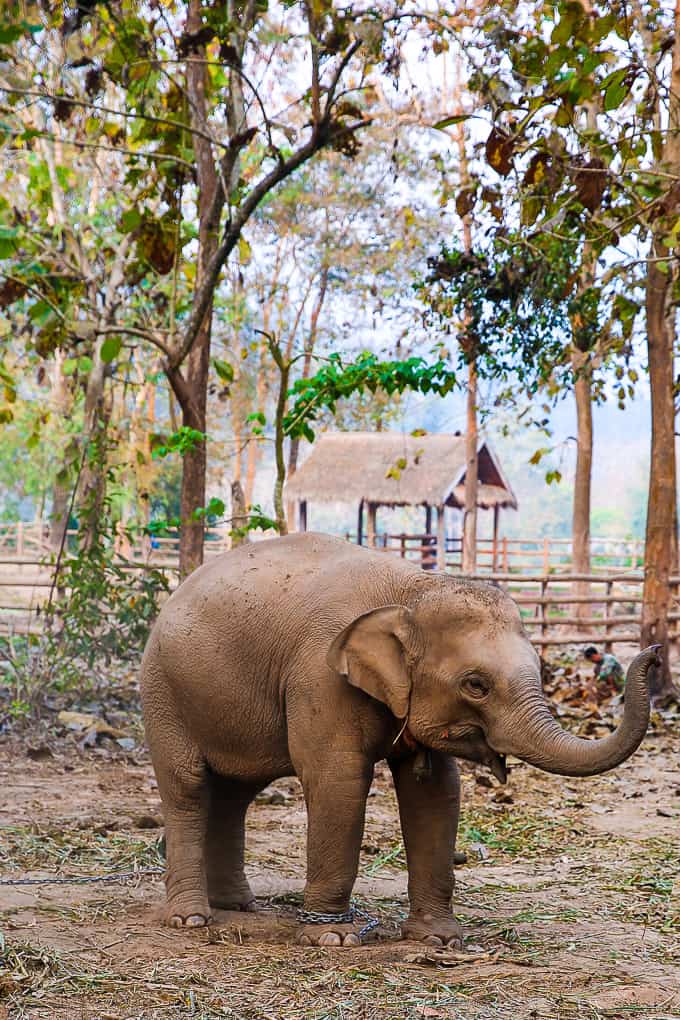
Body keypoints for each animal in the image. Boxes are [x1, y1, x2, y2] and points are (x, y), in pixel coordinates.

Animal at [140, 532, 657, 948]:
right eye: (476, 685)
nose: (652, 653)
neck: (413, 589)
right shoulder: (320, 677)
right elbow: (338, 782)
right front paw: (332, 938)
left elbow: (437, 792)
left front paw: (440, 940)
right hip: (163, 691)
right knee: (188, 786)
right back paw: (191, 919)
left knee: (237, 793)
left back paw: (239, 905)